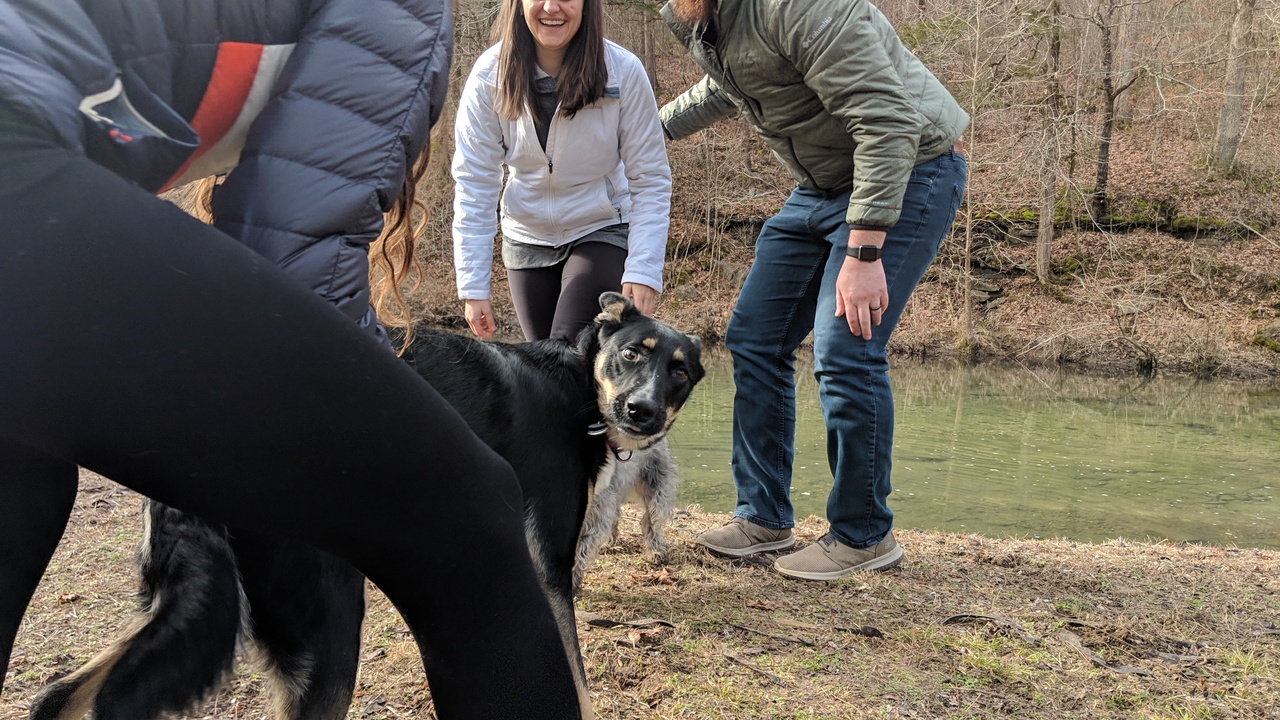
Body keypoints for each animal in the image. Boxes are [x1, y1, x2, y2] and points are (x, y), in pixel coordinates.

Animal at [30, 292, 706, 717]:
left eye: (679, 372)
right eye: (631, 353)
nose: (641, 411)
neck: (574, 383)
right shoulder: (546, 572)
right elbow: (577, 683)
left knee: (56, 696)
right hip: (327, 633)